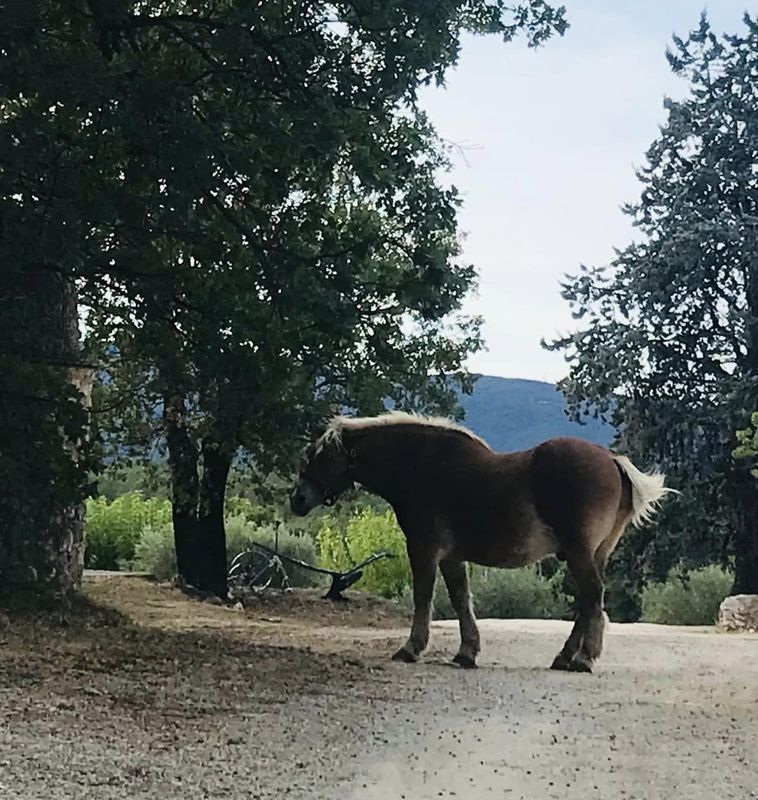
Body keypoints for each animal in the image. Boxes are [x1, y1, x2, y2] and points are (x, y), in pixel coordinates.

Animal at [290, 411, 675, 672]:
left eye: (320, 456)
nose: (297, 498)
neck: (420, 466)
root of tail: (612, 460)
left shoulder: (424, 549)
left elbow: (423, 598)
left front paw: (412, 648)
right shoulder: (450, 557)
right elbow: (461, 600)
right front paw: (466, 652)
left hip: (580, 552)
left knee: (592, 598)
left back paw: (582, 658)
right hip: (594, 553)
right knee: (587, 601)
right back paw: (565, 656)